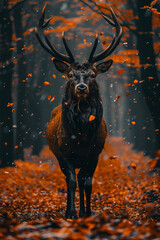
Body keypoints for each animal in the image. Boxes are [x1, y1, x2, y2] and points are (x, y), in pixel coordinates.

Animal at [35, 4, 122, 219]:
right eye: (70, 75)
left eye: (92, 74)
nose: (81, 87)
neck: (82, 137)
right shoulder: (64, 153)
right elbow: (73, 182)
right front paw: (72, 213)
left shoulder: (95, 153)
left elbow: (87, 183)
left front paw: (87, 211)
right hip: (59, 156)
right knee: (69, 180)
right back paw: (70, 209)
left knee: (82, 180)